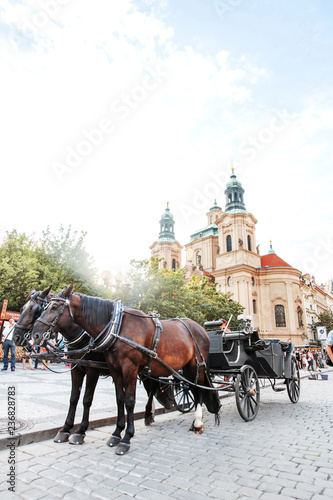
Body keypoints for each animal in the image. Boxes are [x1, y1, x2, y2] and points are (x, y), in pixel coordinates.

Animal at [31, 286, 220, 454]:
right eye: (43, 308)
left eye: (54, 307)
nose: (35, 335)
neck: (117, 326)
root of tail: (200, 327)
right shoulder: (113, 369)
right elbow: (117, 399)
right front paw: (116, 434)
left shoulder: (126, 368)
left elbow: (127, 401)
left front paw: (126, 438)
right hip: (185, 368)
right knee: (190, 389)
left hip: (197, 366)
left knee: (199, 390)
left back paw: (197, 423)